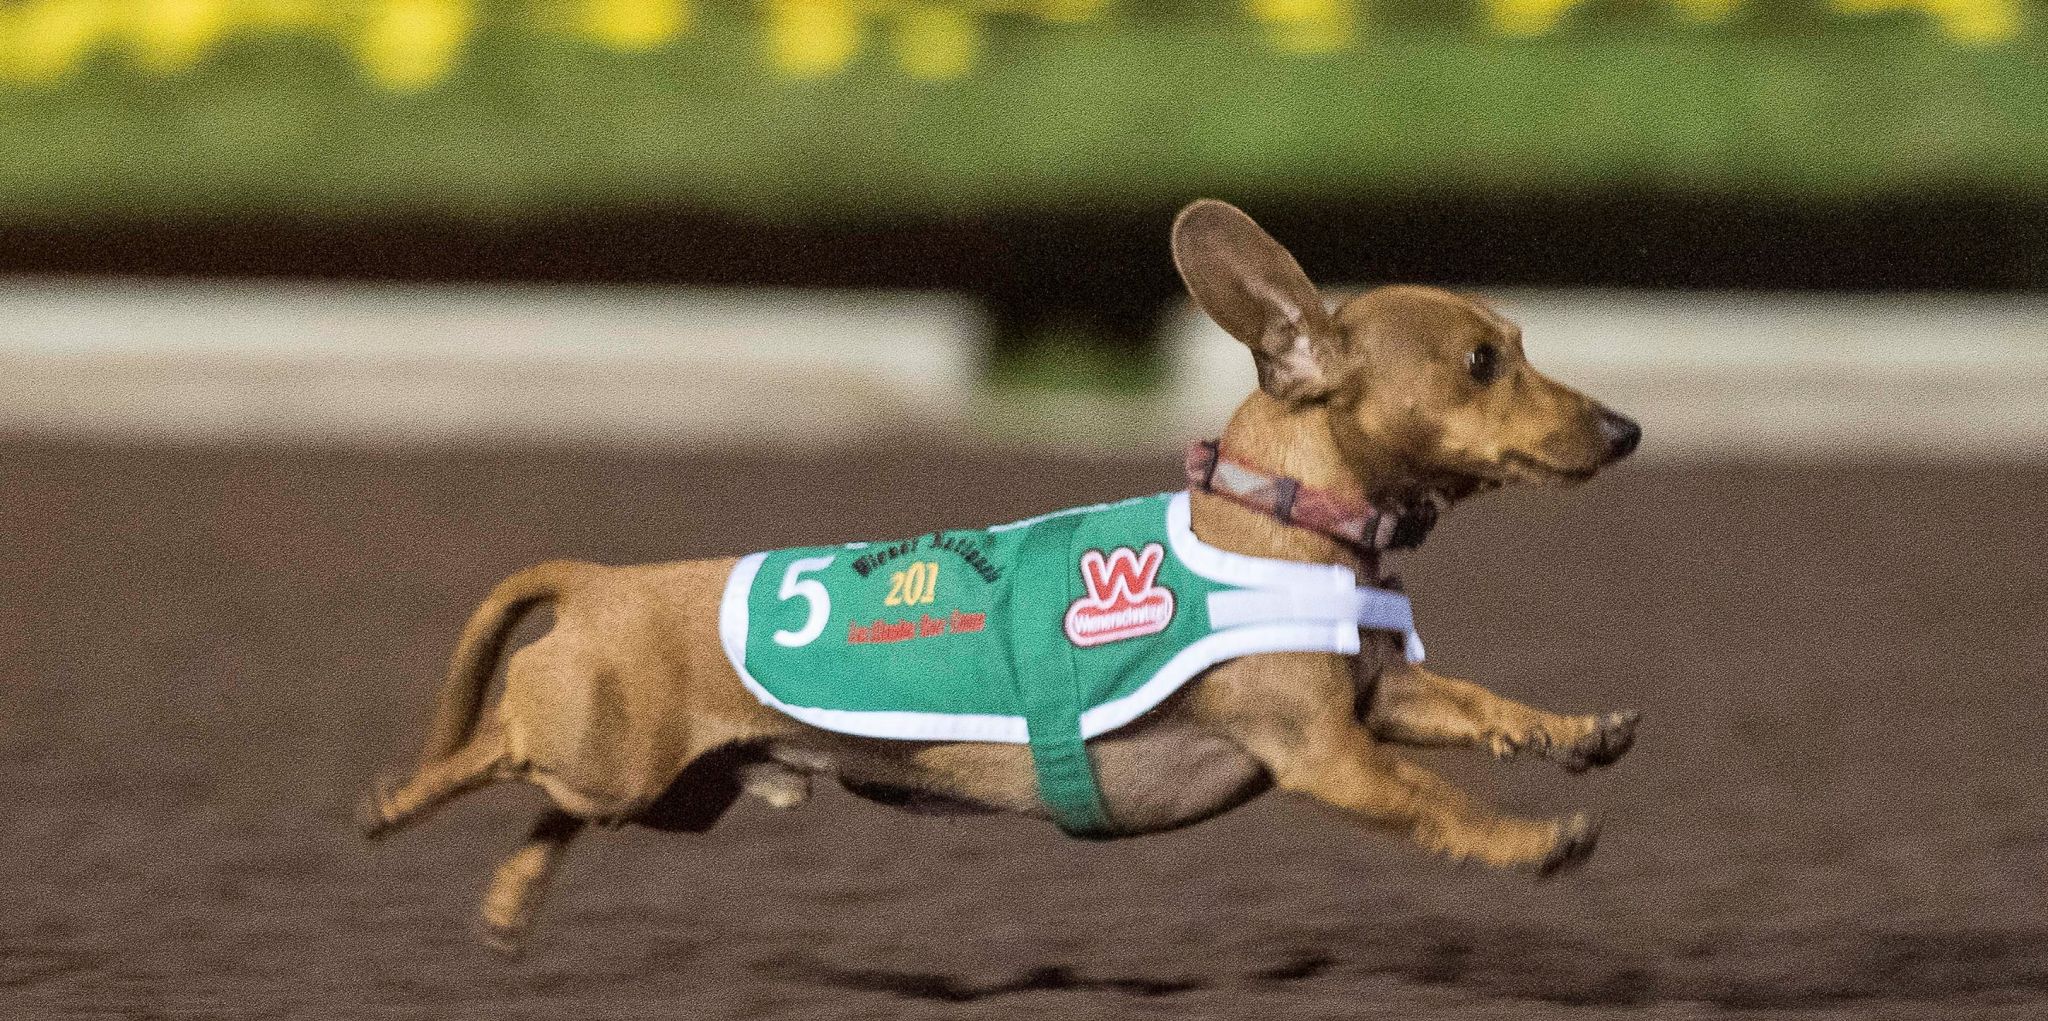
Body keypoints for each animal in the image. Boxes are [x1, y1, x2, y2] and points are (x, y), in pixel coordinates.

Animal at [360, 201, 1638, 957]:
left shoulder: (1381, 694)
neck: (1281, 520)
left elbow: (1478, 706)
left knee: (547, 814)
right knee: (485, 755)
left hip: (669, 793)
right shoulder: (1327, 752)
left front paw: (1577, 732)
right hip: (604, 754)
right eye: (1480, 361)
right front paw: (1532, 841)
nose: (1624, 430)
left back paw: (506, 907)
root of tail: (601, 581)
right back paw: (390, 800)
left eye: (1513, 344)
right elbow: (1436, 804)